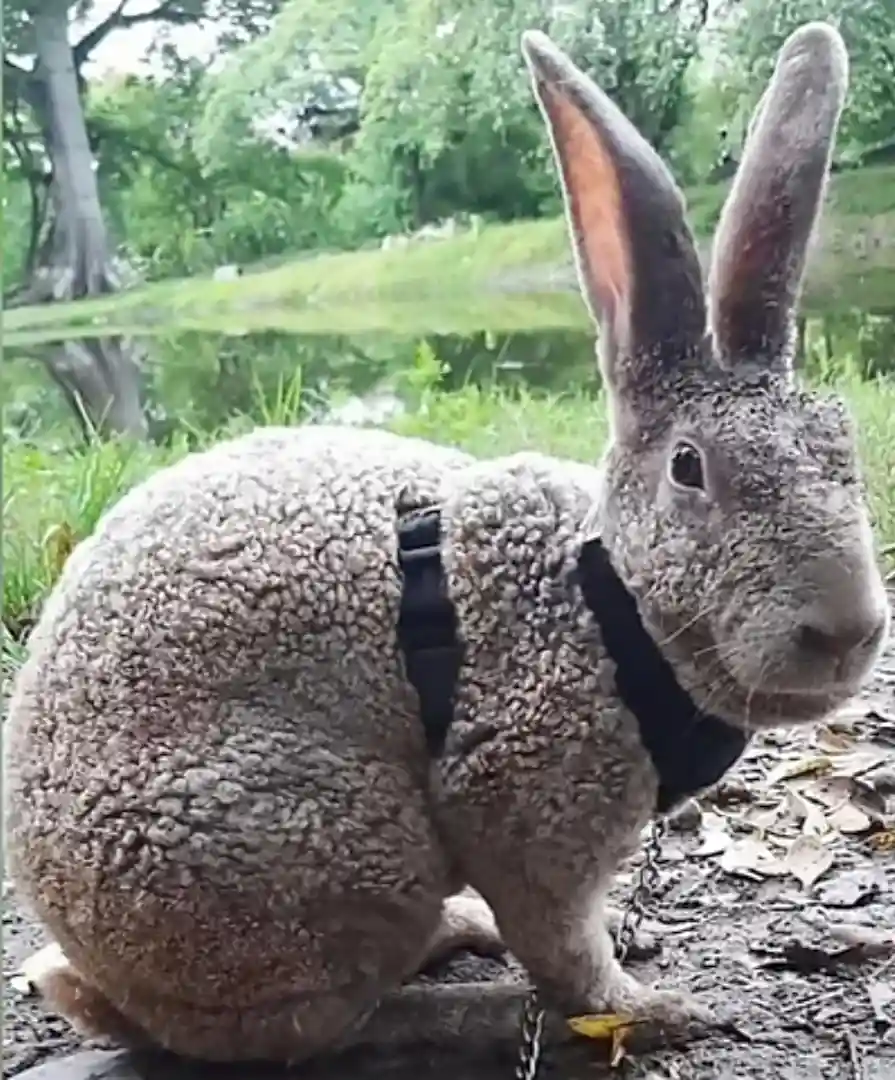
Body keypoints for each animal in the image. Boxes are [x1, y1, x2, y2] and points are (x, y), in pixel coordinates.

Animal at [5, 19, 890, 1066]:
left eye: (842, 444)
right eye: (690, 470)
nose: (846, 631)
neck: (605, 601)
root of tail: (99, 977)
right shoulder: (526, 805)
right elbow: (564, 947)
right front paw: (656, 1009)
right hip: (334, 846)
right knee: (323, 1028)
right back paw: (486, 1004)